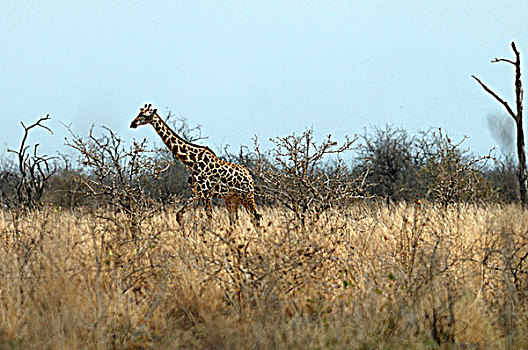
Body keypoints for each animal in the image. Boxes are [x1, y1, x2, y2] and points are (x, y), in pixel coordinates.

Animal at [128, 102, 260, 226]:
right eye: (139, 113)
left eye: (145, 115)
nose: (133, 123)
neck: (191, 160)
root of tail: (250, 177)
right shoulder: (197, 192)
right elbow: (179, 215)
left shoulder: (206, 193)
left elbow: (210, 220)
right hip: (232, 198)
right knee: (235, 221)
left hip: (246, 195)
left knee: (256, 217)